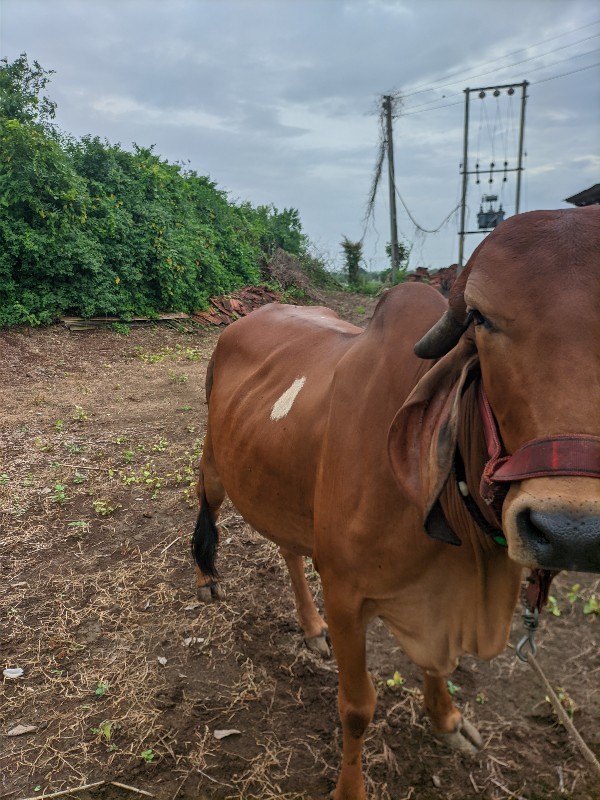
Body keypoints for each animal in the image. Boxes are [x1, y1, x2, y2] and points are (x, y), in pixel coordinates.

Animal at [192, 208, 600, 800]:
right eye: (480, 319)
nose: (572, 530)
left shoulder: (436, 604)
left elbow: (439, 666)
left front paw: (447, 721)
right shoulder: (346, 593)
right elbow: (357, 707)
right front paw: (350, 789)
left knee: (289, 549)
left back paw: (310, 628)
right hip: (215, 461)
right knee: (206, 504)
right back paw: (205, 577)